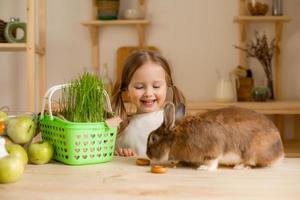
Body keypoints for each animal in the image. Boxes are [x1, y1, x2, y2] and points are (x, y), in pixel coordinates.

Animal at [146, 103, 284, 170]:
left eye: (153, 138)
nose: (147, 154)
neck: (176, 137)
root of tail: (280, 153)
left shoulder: (212, 150)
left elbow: (212, 162)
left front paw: (203, 168)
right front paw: (181, 164)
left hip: (252, 152)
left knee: (253, 162)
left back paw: (240, 166)